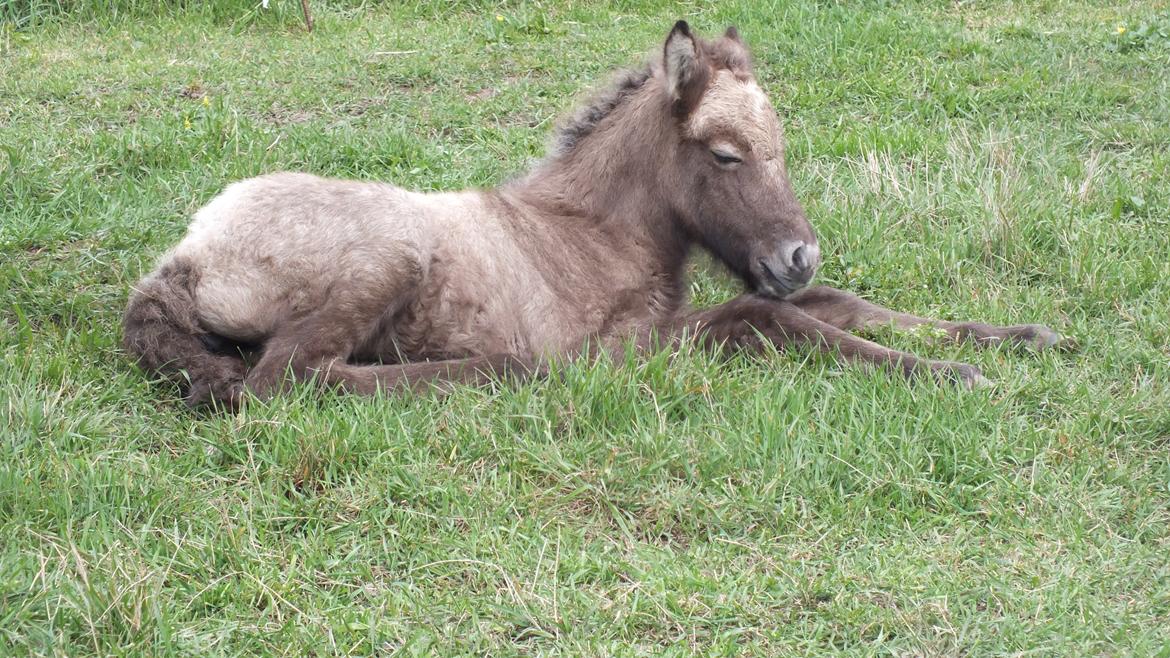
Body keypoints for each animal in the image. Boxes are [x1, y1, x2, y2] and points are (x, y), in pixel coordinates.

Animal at [123, 21, 1067, 405]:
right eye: (726, 156)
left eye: (782, 147)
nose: (799, 256)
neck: (591, 235)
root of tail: (185, 256)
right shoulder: (630, 346)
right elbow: (772, 319)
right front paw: (945, 373)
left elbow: (843, 305)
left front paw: (1017, 337)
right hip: (387, 263)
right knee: (284, 379)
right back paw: (505, 373)